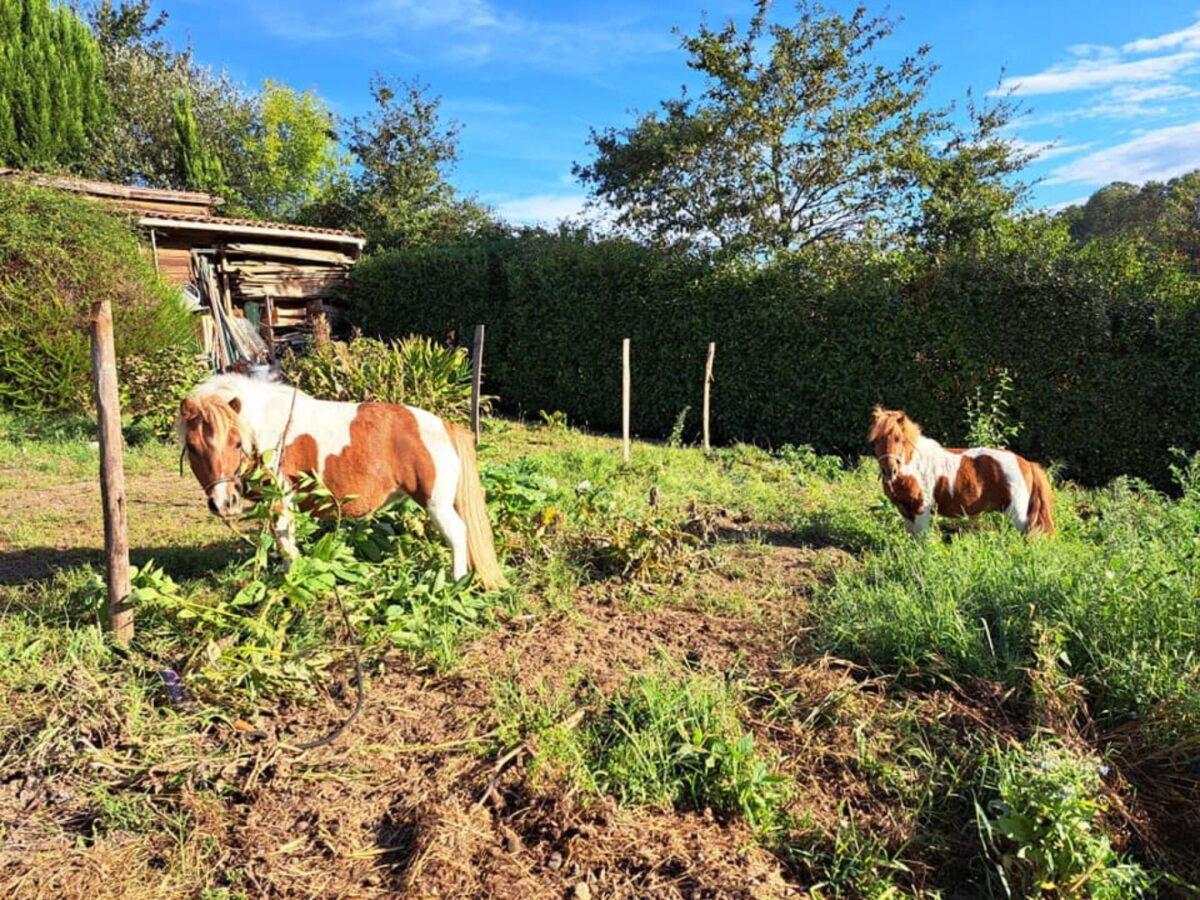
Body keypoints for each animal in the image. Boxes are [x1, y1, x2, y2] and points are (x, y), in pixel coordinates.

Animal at [175, 374, 506, 592]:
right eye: (192, 446)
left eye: (236, 443)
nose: (224, 502)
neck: (269, 430)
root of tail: (445, 426)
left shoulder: (281, 498)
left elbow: (286, 542)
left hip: (436, 504)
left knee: (458, 535)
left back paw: (456, 582)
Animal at [868, 408, 1056, 540]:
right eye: (876, 440)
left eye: (899, 439)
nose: (889, 471)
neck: (915, 467)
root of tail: (1027, 463)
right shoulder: (906, 511)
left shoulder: (922, 511)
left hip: (1018, 515)